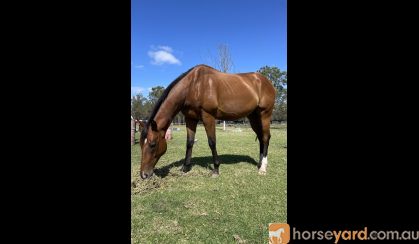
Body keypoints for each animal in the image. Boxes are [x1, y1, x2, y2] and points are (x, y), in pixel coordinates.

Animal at [138, 64, 276, 179]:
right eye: (140, 145)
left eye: (152, 144)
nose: (144, 175)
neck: (194, 85)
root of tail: (266, 81)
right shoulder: (190, 118)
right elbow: (189, 143)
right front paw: (185, 167)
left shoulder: (208, 116)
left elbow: (212, 142)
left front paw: (216, 169)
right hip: (253, 117)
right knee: (261, 138)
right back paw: (259, 163)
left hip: (265, 114)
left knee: (265, 138)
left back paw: (263, 168)